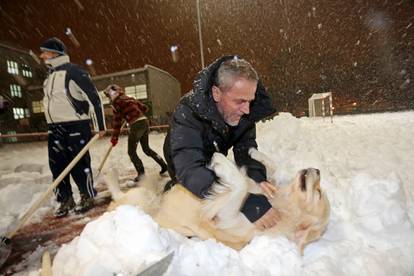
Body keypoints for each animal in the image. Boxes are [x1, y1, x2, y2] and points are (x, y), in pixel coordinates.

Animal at [106, 149, 330, 254]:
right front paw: (253, 152)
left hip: (143, 200)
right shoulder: (269, 185)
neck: (281, 205)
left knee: (116, 200)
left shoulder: (224, 217)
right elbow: (272, 166)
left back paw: (111, 176)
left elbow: (239, 185)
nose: (318, 170)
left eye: (318, 193)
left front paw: (220, 160)